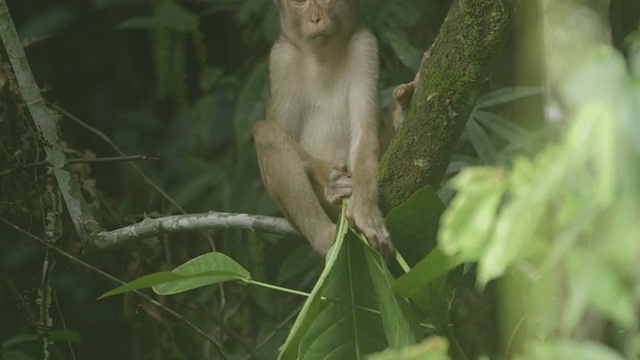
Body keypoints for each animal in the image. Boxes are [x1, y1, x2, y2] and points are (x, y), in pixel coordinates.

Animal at [252, 0, 422, 258]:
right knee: (266, 132)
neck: (324, 55)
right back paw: (327, 240)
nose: (315, 19)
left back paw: (402, 105)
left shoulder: (364, 46)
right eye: (300, 3)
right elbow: (283, 134)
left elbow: (364, 135)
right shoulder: (281, 59)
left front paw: (365, 210)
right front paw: (329, 177)